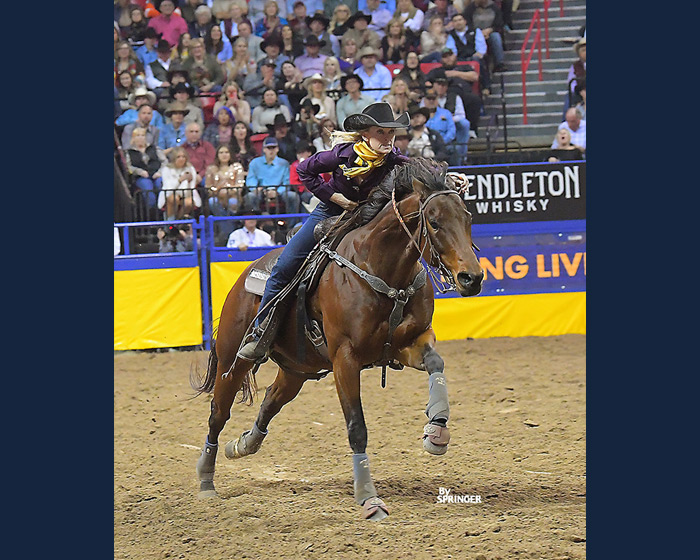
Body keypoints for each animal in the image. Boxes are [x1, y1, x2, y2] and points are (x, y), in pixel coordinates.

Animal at [191, 156, 486, 520]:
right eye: (434, 222)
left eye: (468, 218)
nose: (472, 278)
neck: (380, 267)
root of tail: (244, 278)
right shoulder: (346, 359)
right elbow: (356, 427)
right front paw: (369, 498)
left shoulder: (408, 342)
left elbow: (436, 364)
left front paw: (437, 431)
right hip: (233, 362)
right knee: (218, 413)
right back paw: (206, 480)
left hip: (297, 369)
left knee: (271, 400)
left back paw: (244, 444)